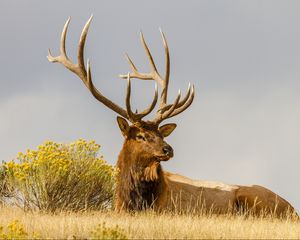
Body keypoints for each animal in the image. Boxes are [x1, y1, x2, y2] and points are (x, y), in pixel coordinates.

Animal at [48, 15, 296, 217]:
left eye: (161, 133)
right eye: (140, 135)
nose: (168, 149)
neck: (134, 202)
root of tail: (294, 210)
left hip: (253, 198)